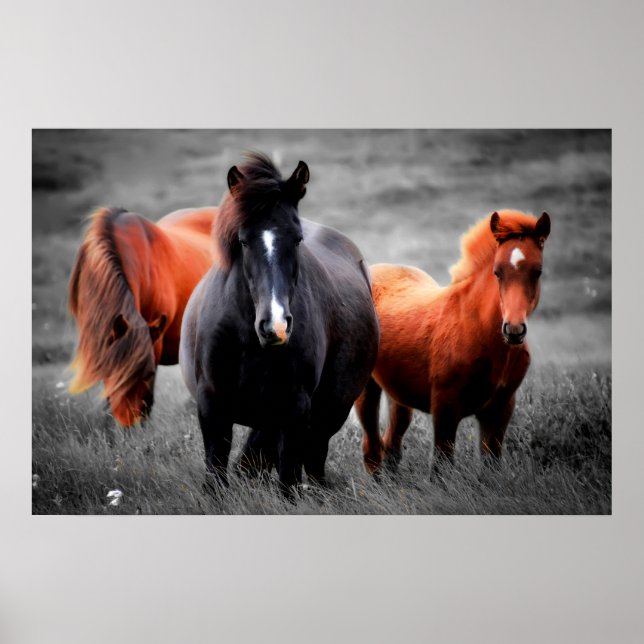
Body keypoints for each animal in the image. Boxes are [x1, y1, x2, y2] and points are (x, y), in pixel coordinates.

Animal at [179, 152, 379, 493]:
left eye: (297, 239)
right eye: (243, 241)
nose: (276, 326)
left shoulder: (294, 409)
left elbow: (288, 481)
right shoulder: (212, 407)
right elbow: (216, 476)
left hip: (328, 413)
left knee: (313, 462)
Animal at [356, 209, 551, 477]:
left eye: (538, 271)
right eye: (497, 271)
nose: (513, 330)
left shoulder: (500, 408)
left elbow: (490, 465)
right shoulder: (445, 406)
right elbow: (441, 466)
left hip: (399, 394)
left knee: (391, 444)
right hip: (366, 388)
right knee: (372, 450)